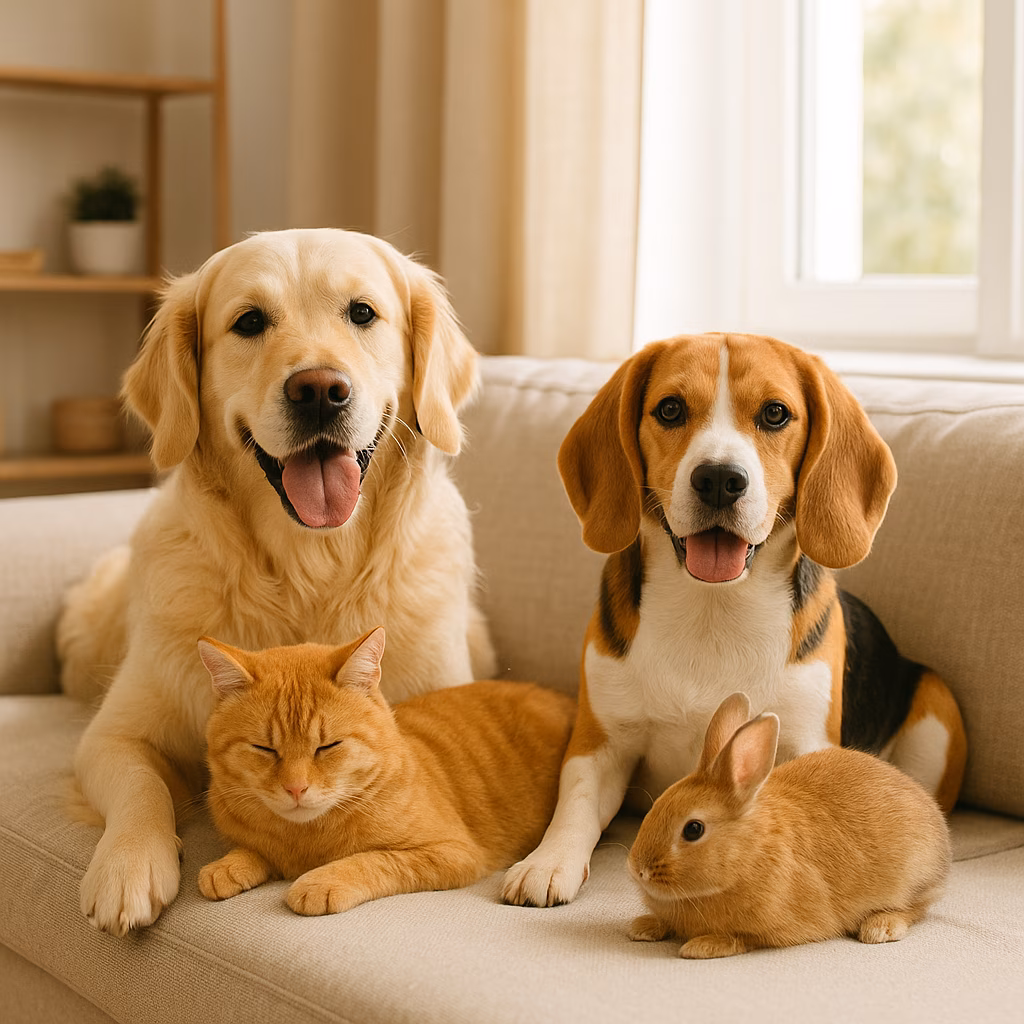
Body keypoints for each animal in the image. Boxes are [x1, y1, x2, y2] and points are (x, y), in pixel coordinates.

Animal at [627, 692, 951, 959]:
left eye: (693, 829)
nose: (638, 869)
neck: (748, 854)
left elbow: (744, 939)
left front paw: (703, 945)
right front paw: (642, 927)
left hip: (914, 878)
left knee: (915, 908)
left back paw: (879, 928)